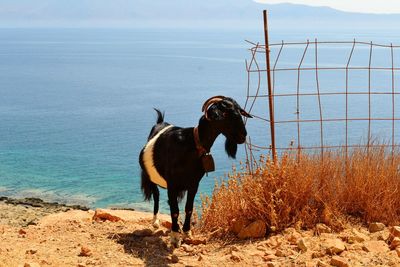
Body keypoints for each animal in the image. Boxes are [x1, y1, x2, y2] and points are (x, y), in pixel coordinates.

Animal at [138, 95, 250, 248]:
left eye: (239, 111)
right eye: (226, 113)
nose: (243, 136)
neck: (192, 144)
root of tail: (160, 122)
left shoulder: (194, 184)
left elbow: (188, 208)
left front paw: (186, 232)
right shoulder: (172, 184)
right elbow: (174, 211)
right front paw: (175, 237)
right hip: (151, 177)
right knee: (156, 195)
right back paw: (155, 222)